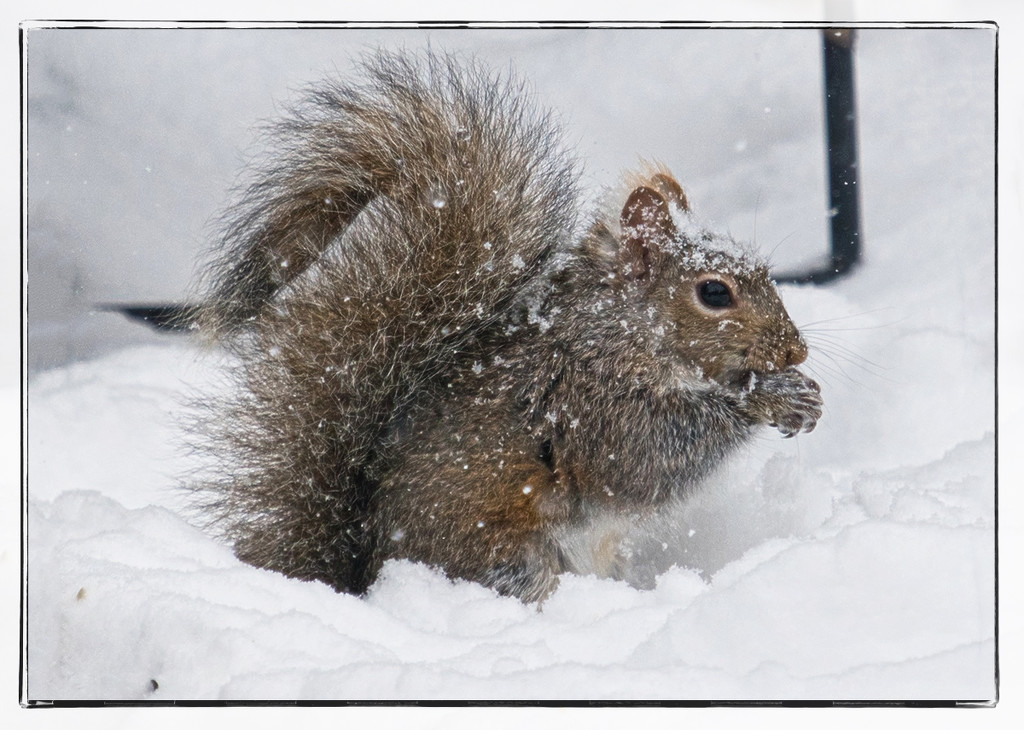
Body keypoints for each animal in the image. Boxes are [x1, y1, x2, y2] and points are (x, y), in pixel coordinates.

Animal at [193, 48, 823, 602]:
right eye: (715, 292)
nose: (795, 352)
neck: (616, 334)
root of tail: (365, 577)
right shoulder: (587, 401)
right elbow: (651, 456)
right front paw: (773, 397)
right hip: (511, 559)